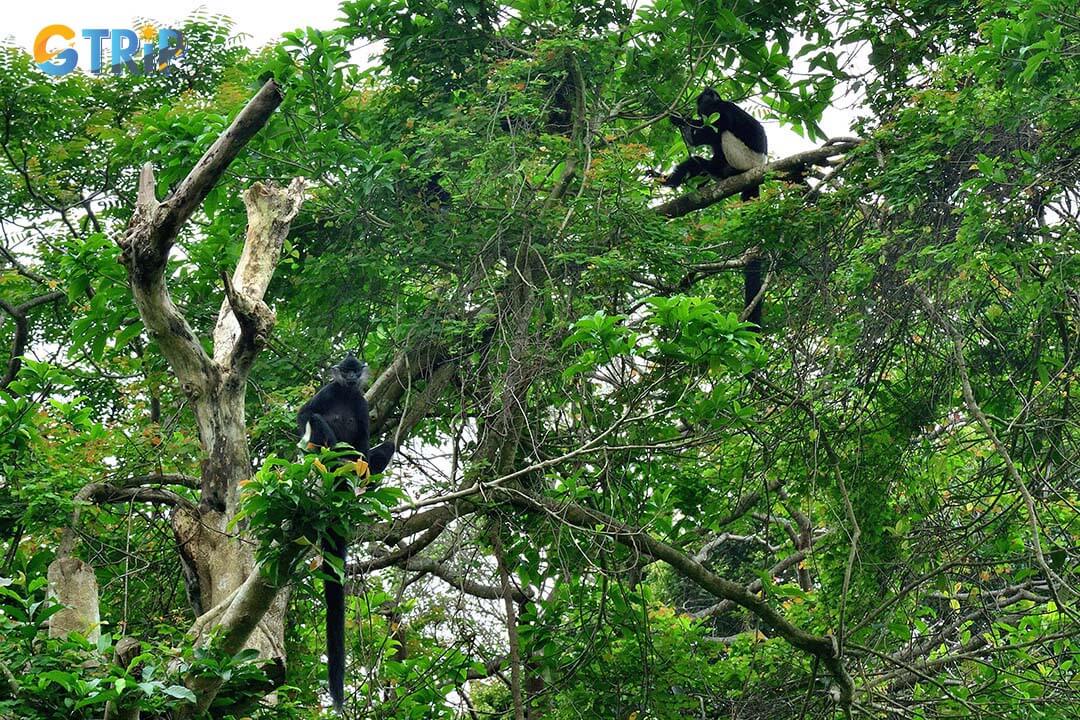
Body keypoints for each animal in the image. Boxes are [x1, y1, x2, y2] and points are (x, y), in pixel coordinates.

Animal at [298, 351, 395, 712]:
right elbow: (306, 414)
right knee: (316, 424)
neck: (346, 393)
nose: (352, 378)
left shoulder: (361, 403)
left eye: (356, 371)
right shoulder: (329, 391)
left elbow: (366, 441)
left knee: (382, 447)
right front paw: (326, 432)